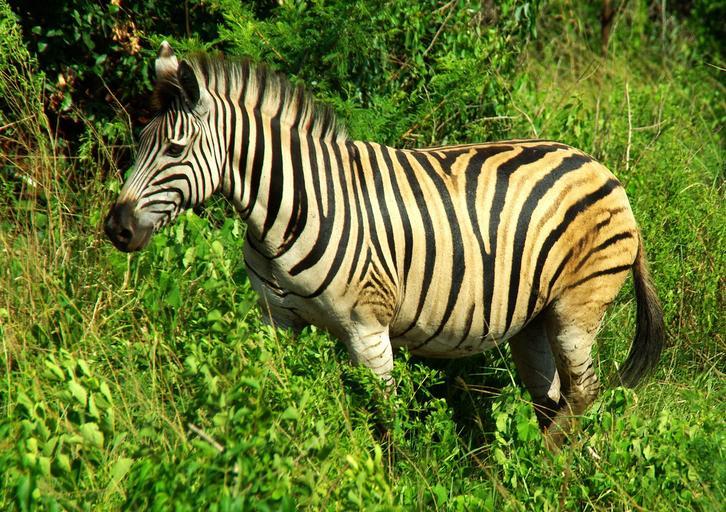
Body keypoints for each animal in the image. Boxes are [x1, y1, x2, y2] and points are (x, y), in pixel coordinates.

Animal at [105, 42, 664, 446]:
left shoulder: (367, 327)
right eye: (139, 143)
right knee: (553, 397)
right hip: (533, 317)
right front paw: (267, 451)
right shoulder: (275, 319)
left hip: (577, 306)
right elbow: (272, 392)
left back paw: (543, 467)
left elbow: (384, 420)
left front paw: (389, 479)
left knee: (584, 393)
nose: (116, 228)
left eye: (175, 149)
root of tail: (600, 167)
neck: (289, 211)